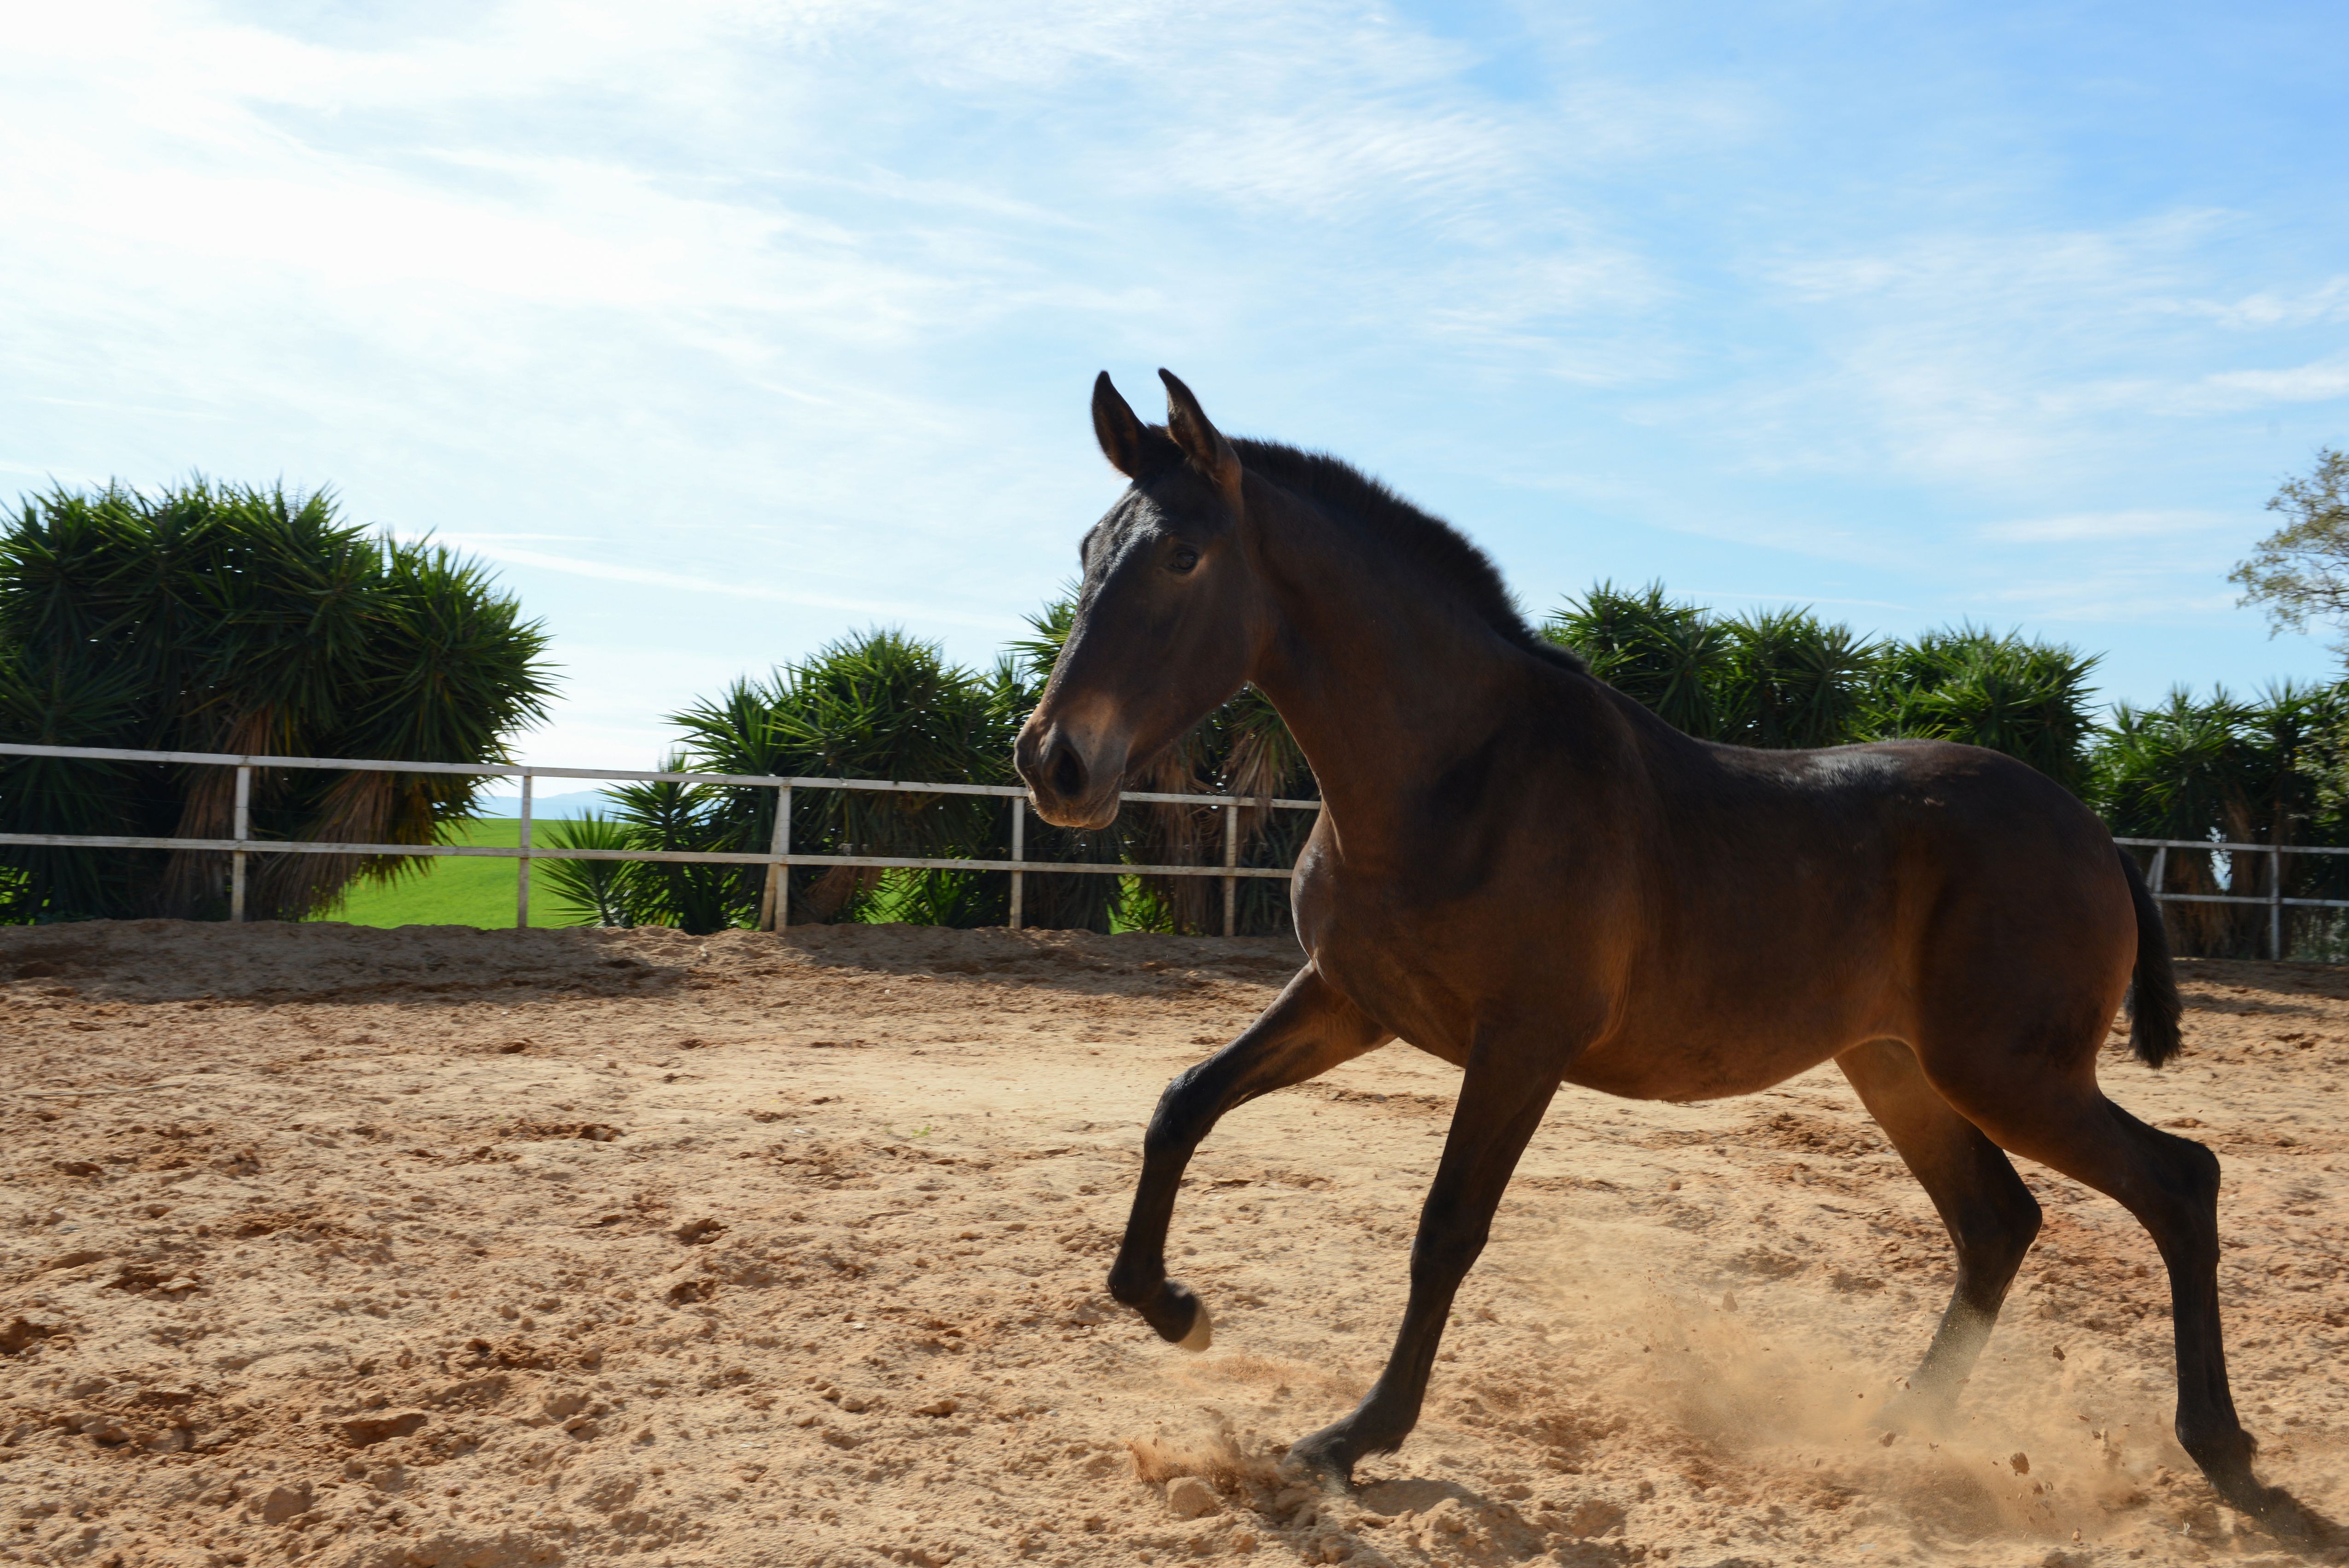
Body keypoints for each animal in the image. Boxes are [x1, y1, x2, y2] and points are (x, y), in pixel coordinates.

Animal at [1015, 371, 2311, 1533]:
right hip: (1900, 1069)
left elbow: (1446, 1227)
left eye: (1184, 558)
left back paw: (2225, 1457)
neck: (1457, 771)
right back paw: (1897, 1430)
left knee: (2178, 1181)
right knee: (1997, 1221)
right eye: (1086, 548)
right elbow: (1183, 1103)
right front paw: (1173, 1308)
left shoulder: (1519, 1043)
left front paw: (1350, 1438)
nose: (1053, 762)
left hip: (2011, 1074)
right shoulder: (1348, 1000)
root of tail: (2092, 832)